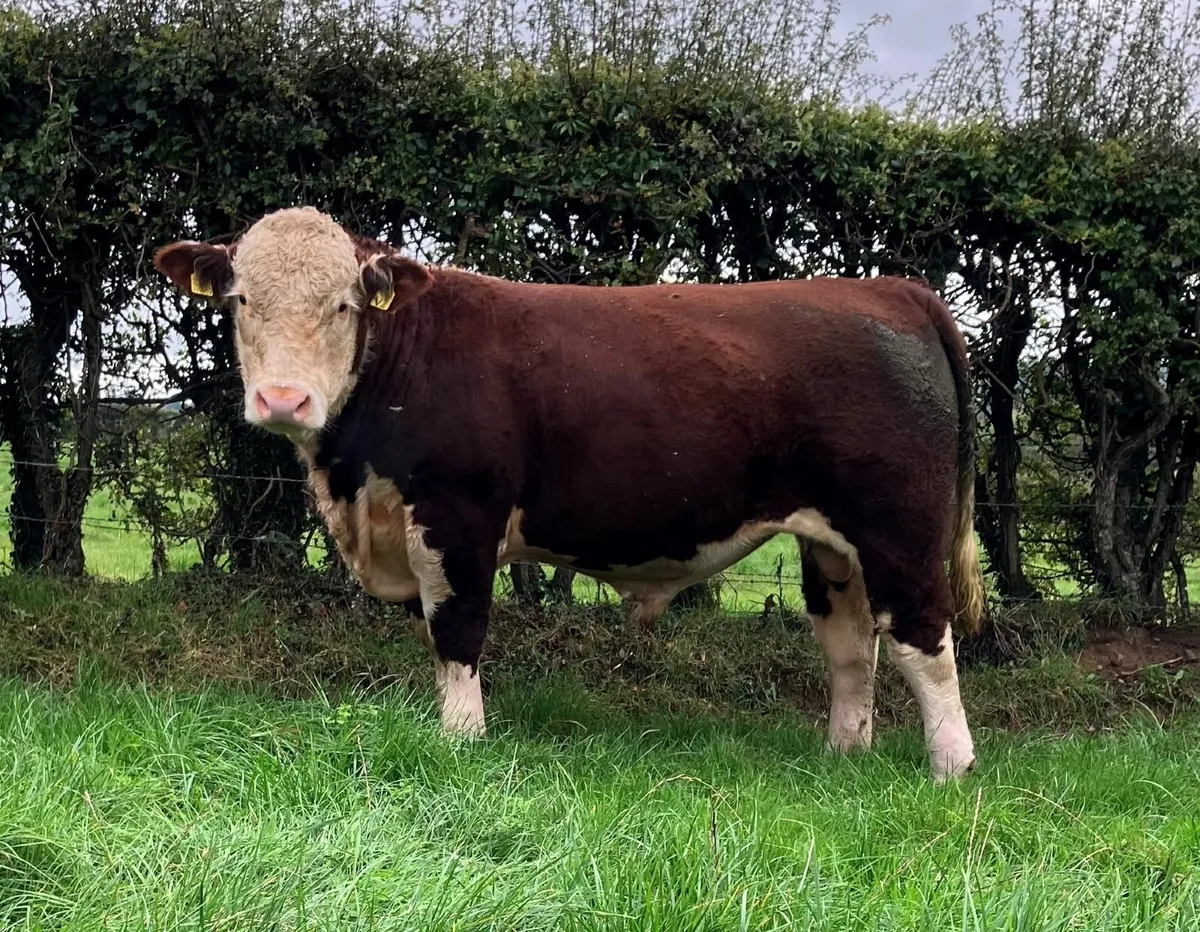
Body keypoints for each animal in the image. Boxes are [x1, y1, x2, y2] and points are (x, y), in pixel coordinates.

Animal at [154, 206, 986, 781]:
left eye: (344, 305)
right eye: (241, 302)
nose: (284, 399)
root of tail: (892, 288)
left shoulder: (457, 518)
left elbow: (457, 632)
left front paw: (461, 740)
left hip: (899, 529)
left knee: (925, 640)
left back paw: (951, 768)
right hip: (832, 542)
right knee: (851, 645)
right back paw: (844, 755)